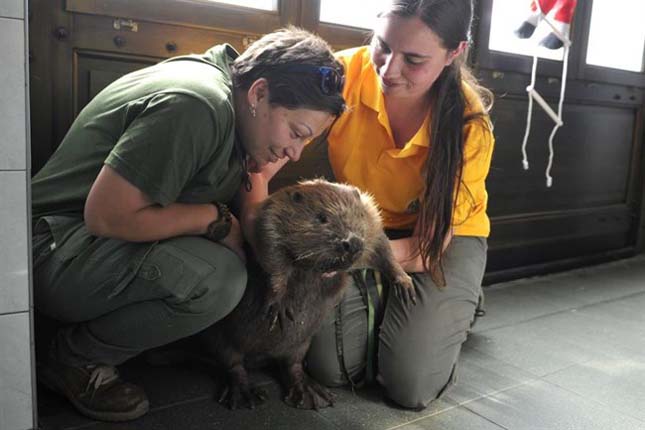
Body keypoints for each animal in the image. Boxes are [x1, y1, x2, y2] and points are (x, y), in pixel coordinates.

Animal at [199, 178, 416, 410]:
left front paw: (405, 285)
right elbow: (271, 251)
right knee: (231, 362)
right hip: (219, 336)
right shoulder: (272, 213)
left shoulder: (372, 220)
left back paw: (311, 394)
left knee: (292, 364)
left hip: (302, 341)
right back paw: (245, 396)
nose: (353, 242)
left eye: (358, 214)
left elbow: (383, 247)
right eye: (321, 218)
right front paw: (279, 306)